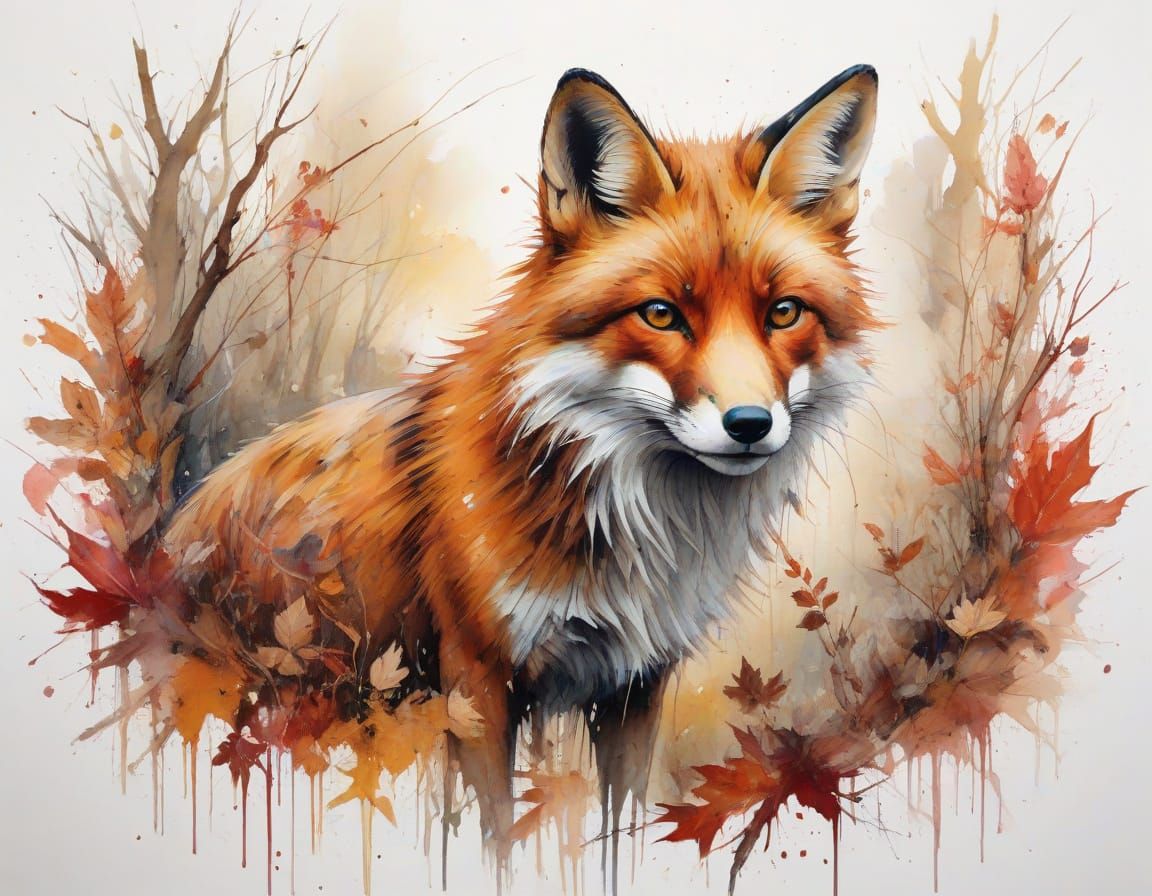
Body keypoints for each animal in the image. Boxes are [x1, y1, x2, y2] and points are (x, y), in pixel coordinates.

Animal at [164, 64, 879, 879]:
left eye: (783, 313)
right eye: (661, 314)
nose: (750, 425)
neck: (628, 524)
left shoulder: (636, 686)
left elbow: (620, 833)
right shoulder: (477, 681)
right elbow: (495, 837)